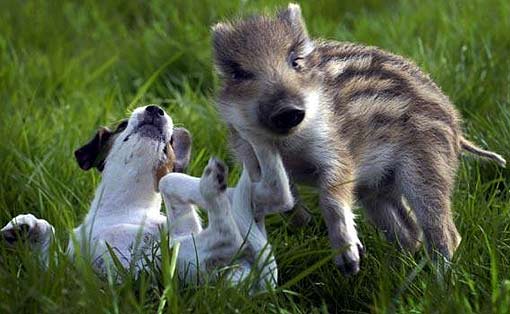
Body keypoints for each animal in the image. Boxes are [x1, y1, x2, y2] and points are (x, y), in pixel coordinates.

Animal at [0, 105, 282, 290]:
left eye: (171, 141)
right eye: (121, 125)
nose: (155, 109)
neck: (127, 206)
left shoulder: (182, 227)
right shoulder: (70, 271)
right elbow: (47, 251)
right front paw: (26, 226)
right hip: (183, 258)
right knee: (228, 234)